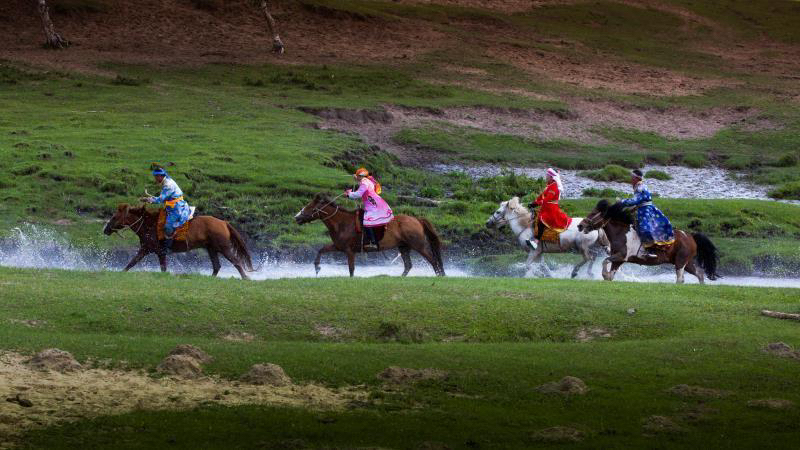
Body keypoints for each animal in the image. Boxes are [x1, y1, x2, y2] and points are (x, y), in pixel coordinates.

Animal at [102, 203, 253, 278]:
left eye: (114, 217)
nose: (106, 230)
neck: (149, 225)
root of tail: (223, 222)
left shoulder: (159, 251)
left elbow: (162, 268)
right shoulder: (145, 249)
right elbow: (131, 263)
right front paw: (121, 273)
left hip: (224, 248)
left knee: (236, 262)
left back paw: (245, 278)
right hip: (211, 249)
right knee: (217, 266)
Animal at [294, 193, 444, 278]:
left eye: (310, 207)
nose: (297, 217)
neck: (342, 223)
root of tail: (417, 219)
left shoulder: (349, 251)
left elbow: (351, 269)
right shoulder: (338, 247)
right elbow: (321, 250)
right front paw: (317, 268)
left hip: (418, 245)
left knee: (432, 260)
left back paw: (439, 276)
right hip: (403, 247)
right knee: (408, 265)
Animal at [576, 201, 720, 284]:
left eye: (594, 213)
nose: (580, 225)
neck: (621, 233)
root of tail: (690, 236)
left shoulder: (621, 256)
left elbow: (605, 261)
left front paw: (603, 274)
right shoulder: (619, 260)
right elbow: (610, 272)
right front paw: (606, 276)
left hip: (680, 262)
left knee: (680, 279)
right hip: (686, 262)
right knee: (699, 274)